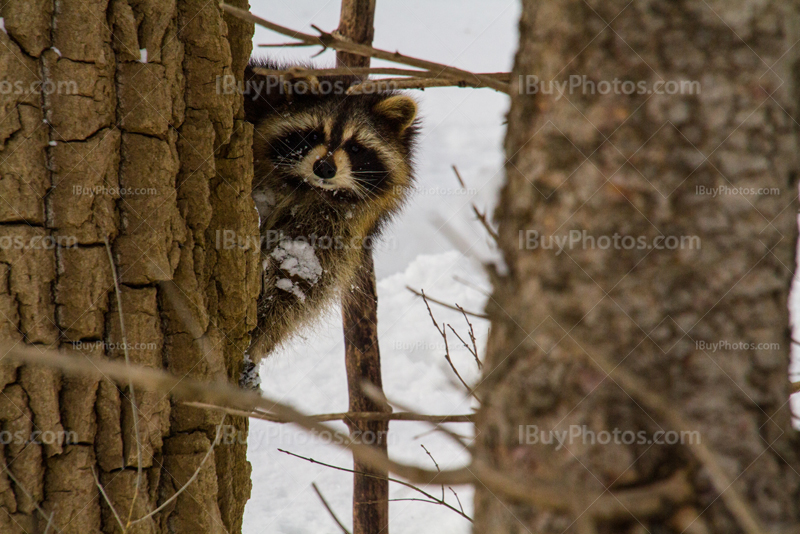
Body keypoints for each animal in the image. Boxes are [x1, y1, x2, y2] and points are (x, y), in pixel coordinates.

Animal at [242, 60, 418, 382]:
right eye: (313, 135)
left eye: (356, 146)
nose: (324, 168)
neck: (307, 186)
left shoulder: (339, 220)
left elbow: (301, 275)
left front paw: (260, 337)